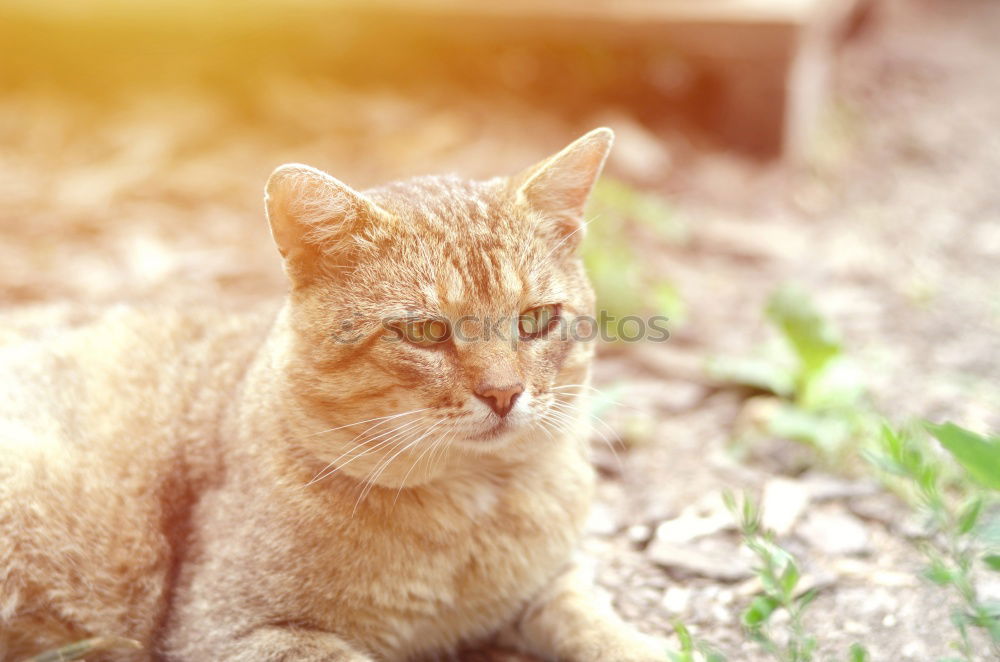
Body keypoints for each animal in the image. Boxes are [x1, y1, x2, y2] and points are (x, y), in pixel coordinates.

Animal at [5, 130, 672, 662]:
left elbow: (595, 620)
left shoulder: (551, 582)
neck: (471, 510)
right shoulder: (233, 630)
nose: (504, 393)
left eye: (536, 321)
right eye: (425, 332)